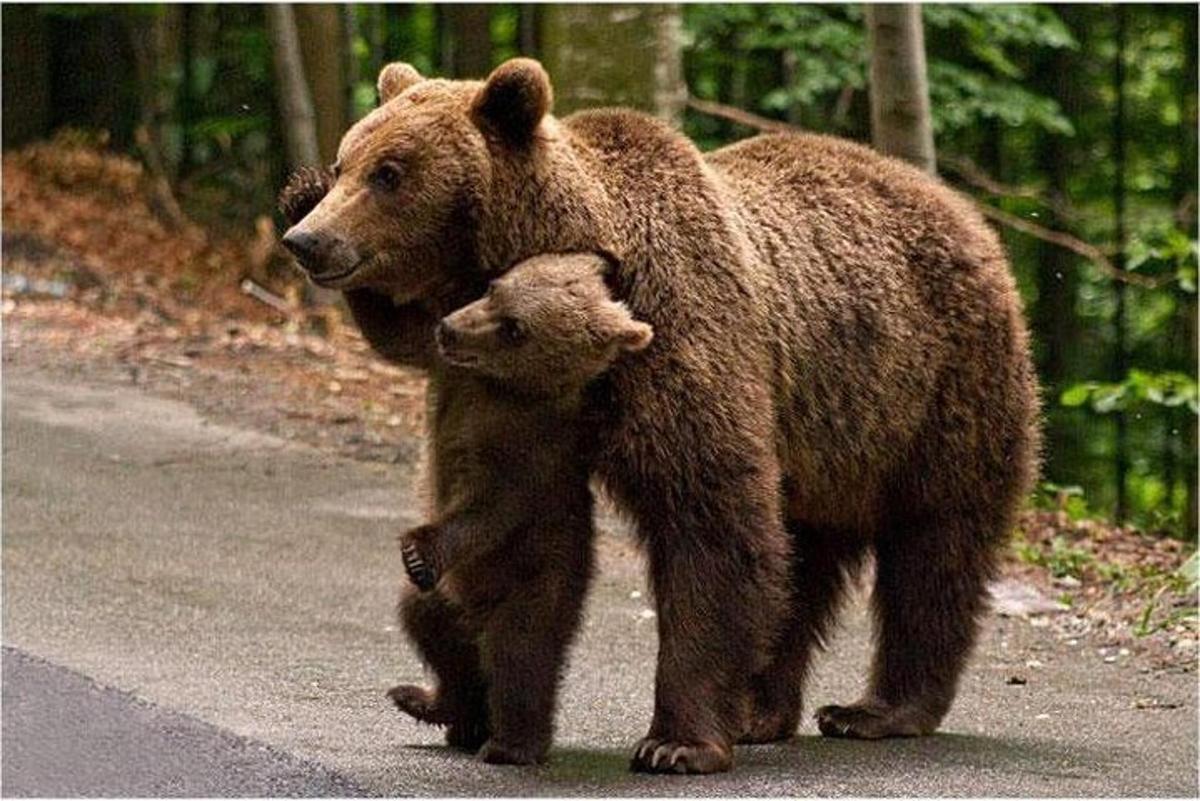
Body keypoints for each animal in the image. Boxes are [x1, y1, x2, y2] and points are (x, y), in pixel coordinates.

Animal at [280, 59, 1041, 772]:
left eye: (390, 173)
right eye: (347, 160)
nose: (307, 240)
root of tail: (970, 216)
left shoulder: (681, 347)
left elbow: (709, 524)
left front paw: (676, 741)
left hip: (939, 398)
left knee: (934, 548)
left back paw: (877, 709)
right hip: (826, 440)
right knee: (803, 558)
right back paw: (760, 710)